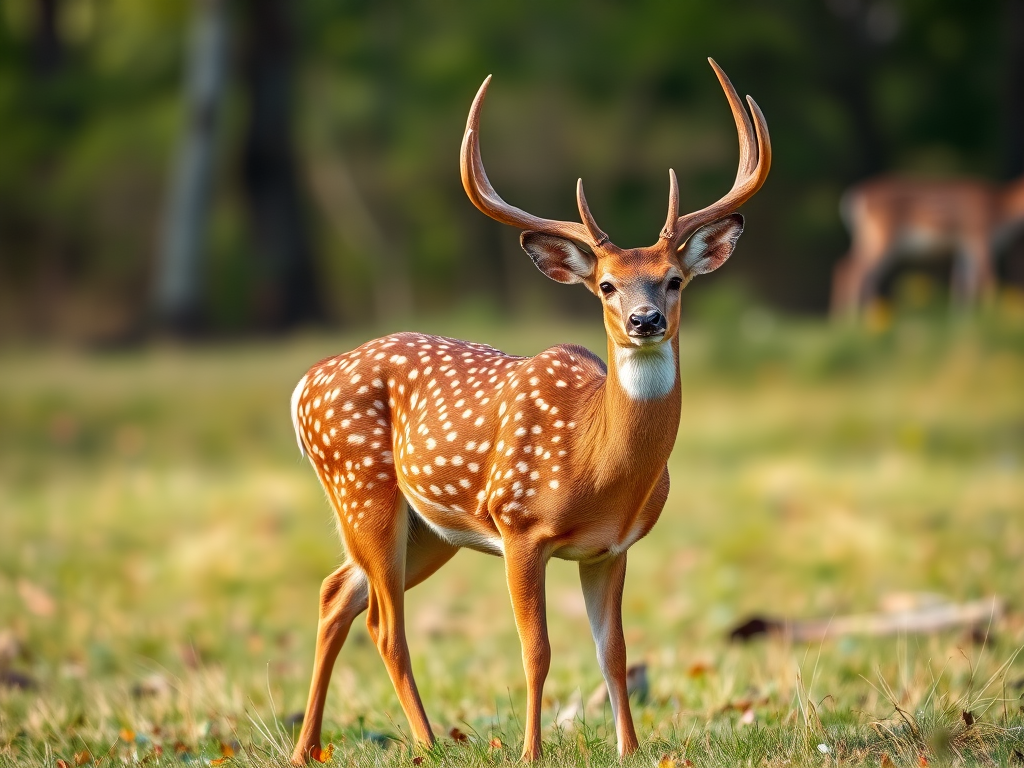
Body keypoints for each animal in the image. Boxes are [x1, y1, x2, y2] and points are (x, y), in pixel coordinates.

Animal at [288, 59, 770, 764]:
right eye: (605, 285)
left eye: (674, 280)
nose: (644, 319)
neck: (597, 467)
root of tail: (303, 385)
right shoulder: (517, 525)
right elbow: (536, 651)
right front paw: (531, 751)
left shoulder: (611, 549)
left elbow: (615, 652)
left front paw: (629, 749)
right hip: (362, 487)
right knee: (384, 621)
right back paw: (429, 741)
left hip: (429, 528)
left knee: (334, 594)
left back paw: (308, 748)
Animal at [831, 172, 1024, 317]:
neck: (1002, 211)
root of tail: (853, 197)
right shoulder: (978, 235)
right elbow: (988, 279)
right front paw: (990, 316)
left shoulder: (965, 245)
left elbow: (963, 282)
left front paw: (963, 321)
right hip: (882, 235)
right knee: (855, 270)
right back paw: (852, 323)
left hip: (867, 236)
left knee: (852, 268)